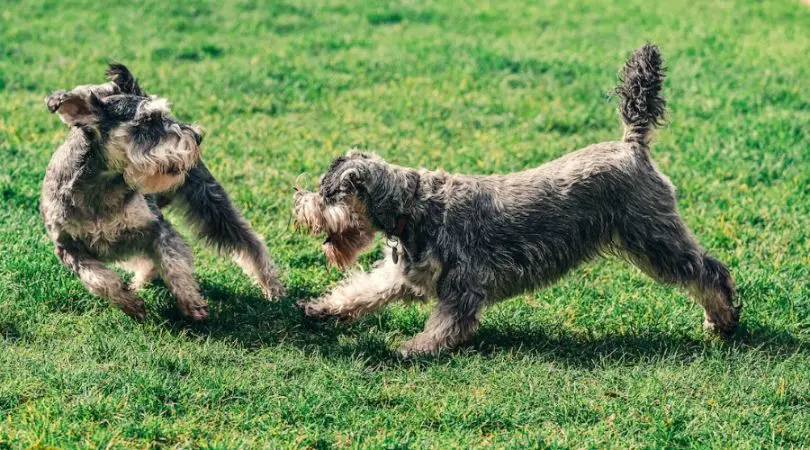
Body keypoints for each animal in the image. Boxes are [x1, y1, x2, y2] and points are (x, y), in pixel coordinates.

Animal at [43, 65, 288, 322]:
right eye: (148, 120)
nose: (197, 136)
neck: (99, 189)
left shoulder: (156, 228)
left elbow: (173, 263)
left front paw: (191, 302)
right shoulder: (68, 249)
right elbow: (100, 280)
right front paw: (132, 304)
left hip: (210, 203)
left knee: (250, 242)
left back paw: (273, 287)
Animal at [296, 45, 740, 356]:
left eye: (327, 192)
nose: (299, 203)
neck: (412, 206)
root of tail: (632, 145)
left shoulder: (463, 285)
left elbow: (446, 324)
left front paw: (415, 348)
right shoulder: (402, 275)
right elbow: (362, 290)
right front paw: (323, 308)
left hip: (654, 239)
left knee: (709, 272)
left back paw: (721, 320)